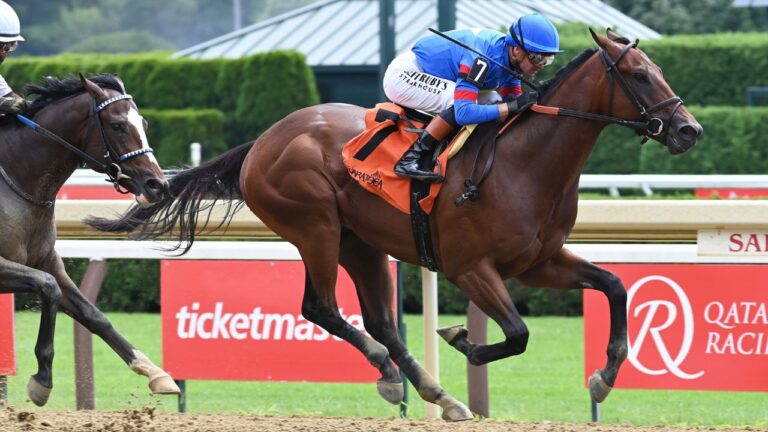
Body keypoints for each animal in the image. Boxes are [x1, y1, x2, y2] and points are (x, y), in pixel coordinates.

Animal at [0, 74, 179, 406]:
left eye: (144, 124)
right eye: (118, 125)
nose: (157, 184)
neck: (16, 179)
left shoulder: (47, 261)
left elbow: (92, 314)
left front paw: (154, 371)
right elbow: (49, 287)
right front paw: (42, 380)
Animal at [86, 29, 702, 420]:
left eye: (659, 70)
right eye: (640, 76)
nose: (689, 130)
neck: (524, 164)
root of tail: (262, 140)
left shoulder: (538, 262)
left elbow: (615, 286)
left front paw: (605, 376)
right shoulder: (470, 268)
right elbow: (517, 335)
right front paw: (460, 338)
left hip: (362, 242)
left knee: (381, 321)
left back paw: (436, 393)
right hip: (315, 227)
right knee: (323, 308)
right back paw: (392, 374)